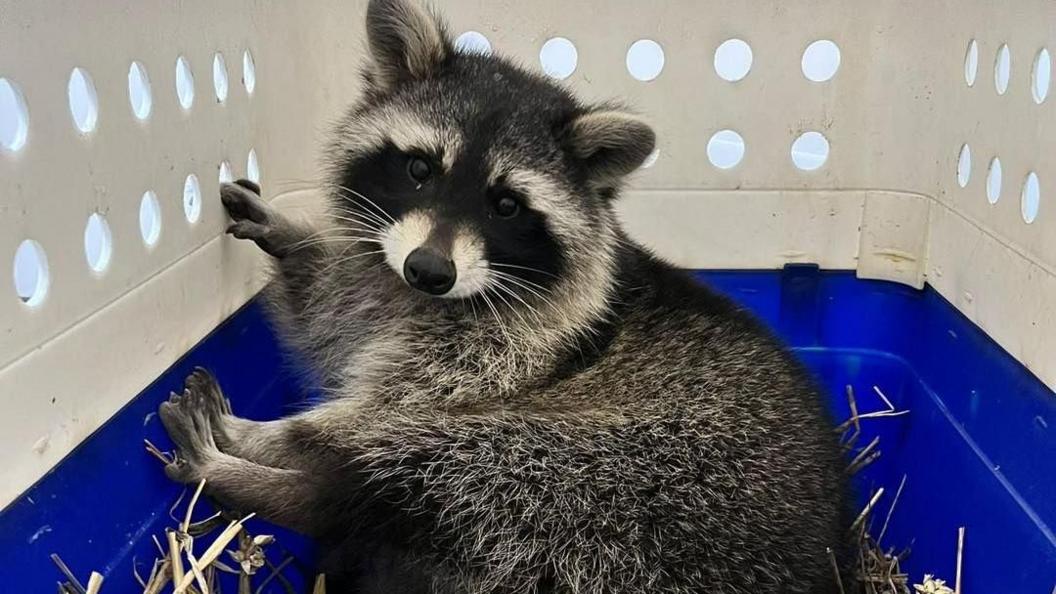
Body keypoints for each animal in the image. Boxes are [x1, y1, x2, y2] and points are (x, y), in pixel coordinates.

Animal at [156, 1, 849, 591]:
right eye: (419, 168)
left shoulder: (506, 356)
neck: (421, 298)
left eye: (507, 205)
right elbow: (325, 309)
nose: (428, 269)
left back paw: (247, 466)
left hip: (625, 471)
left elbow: (369, 416)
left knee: (396, 476)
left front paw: (283, 438)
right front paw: (292, 236)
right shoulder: (372, 283)